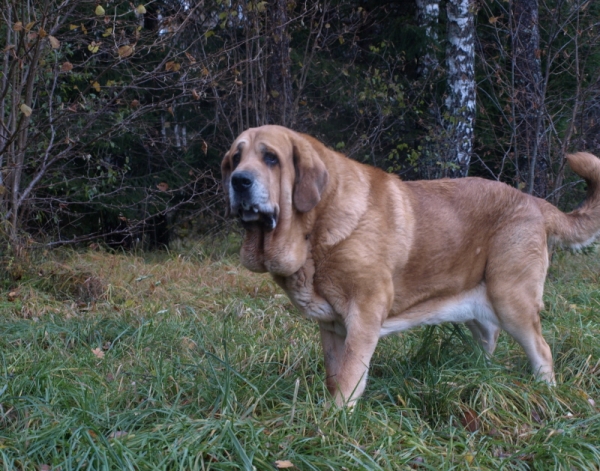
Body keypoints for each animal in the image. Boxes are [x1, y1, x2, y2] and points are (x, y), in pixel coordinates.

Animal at [223, 124, 600, 406]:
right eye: (236, 158)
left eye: (271, 158)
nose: (238, 180)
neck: (316, 225)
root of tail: (534, 201)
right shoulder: (331, 326)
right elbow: (334, 373)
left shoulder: (365, 312)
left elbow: (349, 375)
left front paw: (336, 419)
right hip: (479, 308)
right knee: (489, 340)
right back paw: (476, 375)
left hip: (512, 301)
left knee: (542, 351)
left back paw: (547, 393)